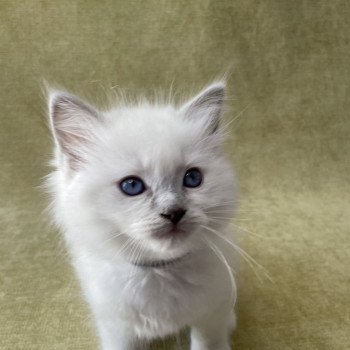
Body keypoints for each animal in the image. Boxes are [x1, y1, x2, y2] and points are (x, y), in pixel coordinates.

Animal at [46, 82, 237, 350]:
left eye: (192, 178)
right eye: (132, 186)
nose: (174, 212)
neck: (159, 270)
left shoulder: (210, 315)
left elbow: (208, 343)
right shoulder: (117, 327)